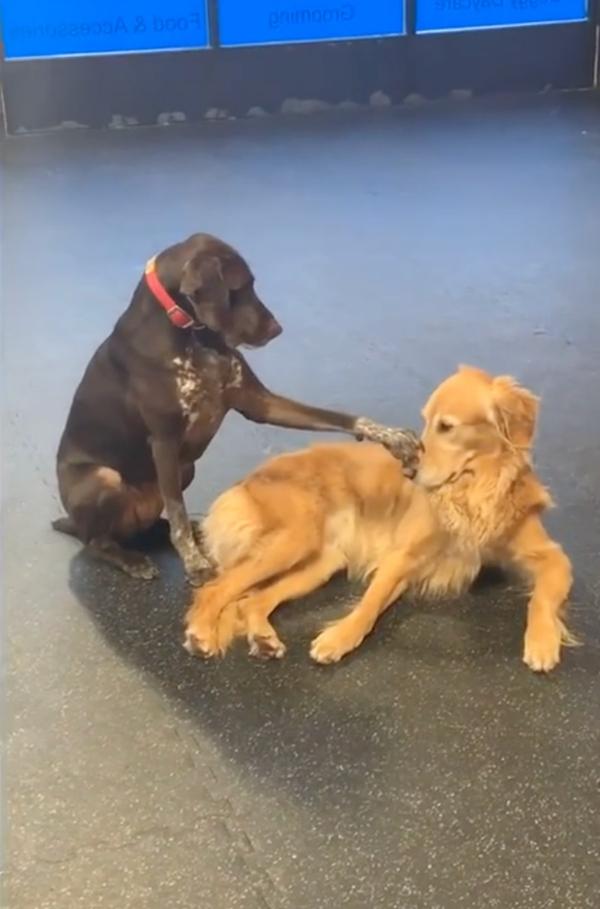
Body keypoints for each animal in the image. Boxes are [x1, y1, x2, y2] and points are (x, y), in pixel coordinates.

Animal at [182, 366, 572, 672]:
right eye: (426, 422)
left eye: (447, 426)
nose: (409, 470)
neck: (474, 490)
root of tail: (247, 479)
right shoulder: (402, 556)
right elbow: (370, 604)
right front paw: (338, 638)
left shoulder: (551, 555)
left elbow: (543, 597)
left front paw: (542, 641)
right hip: (293, 540)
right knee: (215, 589)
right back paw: (201, 633)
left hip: (319, 562)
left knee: (251, 600)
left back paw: (263, 637)